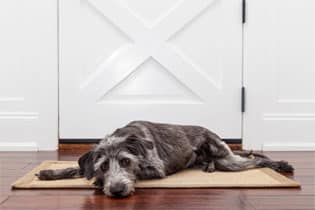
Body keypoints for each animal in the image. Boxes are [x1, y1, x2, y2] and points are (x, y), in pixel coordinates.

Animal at [37, 120, 296, 198]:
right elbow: (76, 168)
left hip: (227, 160)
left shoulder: (156, 170)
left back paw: (280, 164)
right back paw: (208, 167)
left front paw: (100, 184)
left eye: (126, 161)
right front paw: (49, 173)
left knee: (257, 160)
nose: (118, 191)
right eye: (103, 166)